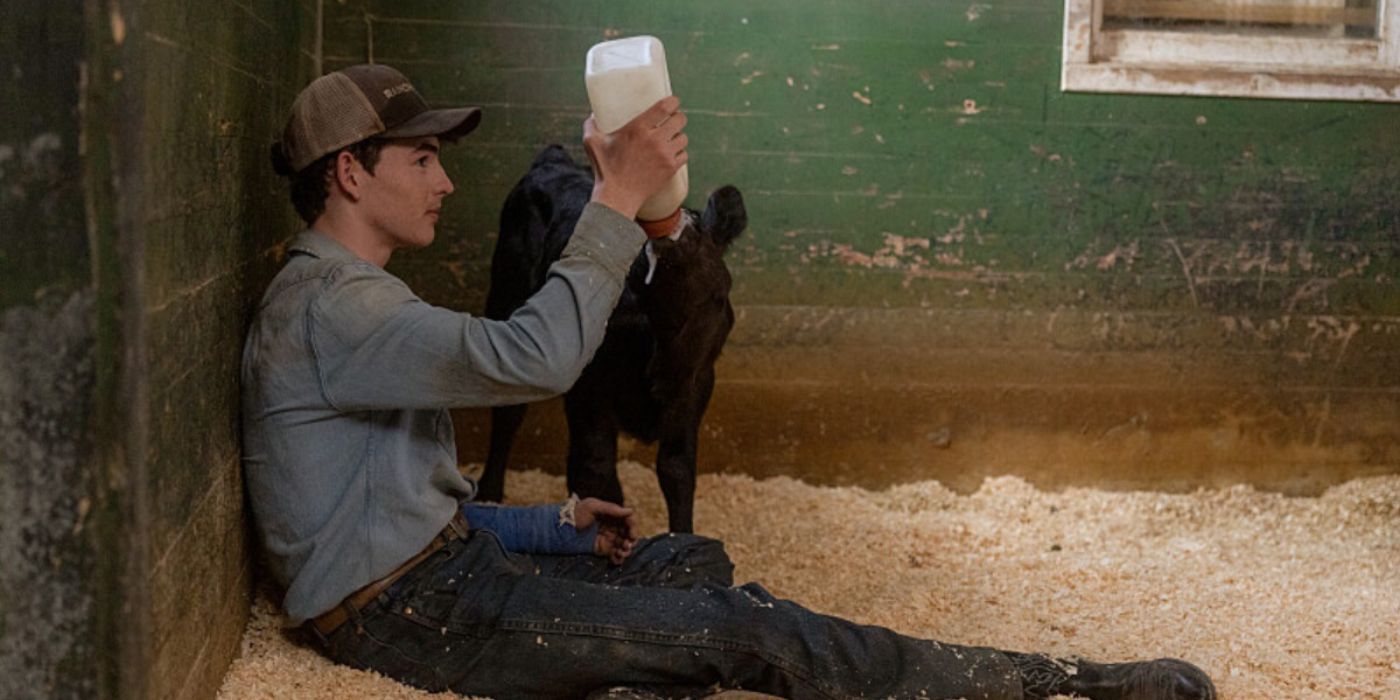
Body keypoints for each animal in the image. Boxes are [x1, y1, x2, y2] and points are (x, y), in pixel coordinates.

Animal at [478, 144, 750, 532]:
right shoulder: (591, 389)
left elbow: (677, 469)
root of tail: (554, 160)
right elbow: (597, 468)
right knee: (508, 414)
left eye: (699, 227)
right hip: (505, 294)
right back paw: (487, 493)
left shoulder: (695, 385)